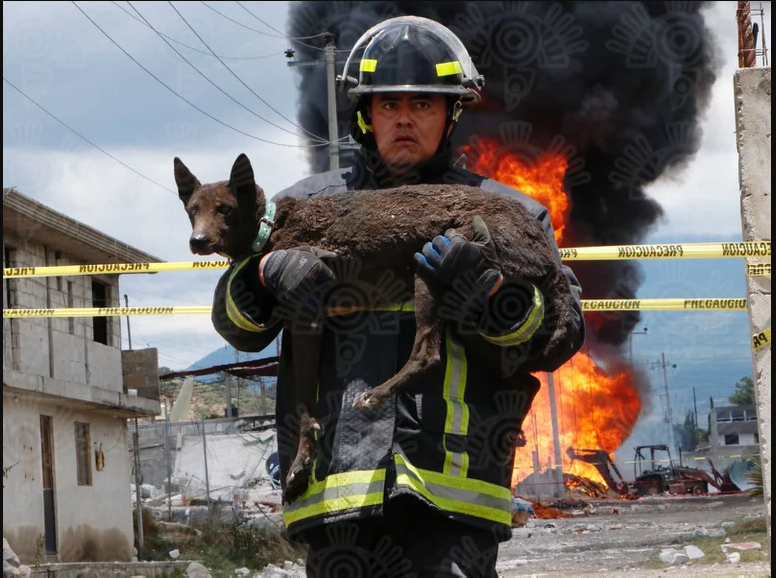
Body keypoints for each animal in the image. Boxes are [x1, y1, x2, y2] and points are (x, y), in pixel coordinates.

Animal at [176, 151, 576, 502]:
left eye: (225, 209)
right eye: (192, 210)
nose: (197, 241)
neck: (270, 224)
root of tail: (548, 254)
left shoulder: (308, 313)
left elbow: (304, 404)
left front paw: (300, 467)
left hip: (436, 265)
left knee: (428, 354)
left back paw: (376, 394)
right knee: (519, 376)